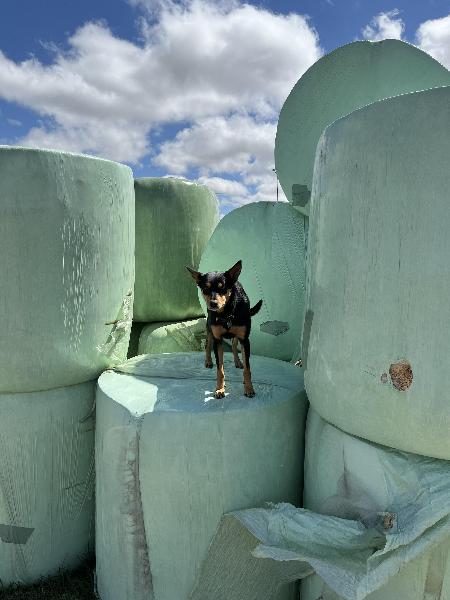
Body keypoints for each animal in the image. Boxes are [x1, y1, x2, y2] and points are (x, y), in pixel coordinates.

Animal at [186, 260, 262, 399]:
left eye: (222, 287)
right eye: (205, 289)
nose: (213, 303)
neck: (226, 313)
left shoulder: (245, 340)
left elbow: (247, 368)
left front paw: (249, 388)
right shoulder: (218, 340)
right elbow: (220, 369)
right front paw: (220, 389)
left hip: (237, 335)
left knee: (234, 345)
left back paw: (238, 362)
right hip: (209, 329)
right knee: (207, 344)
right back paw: (208, 361)